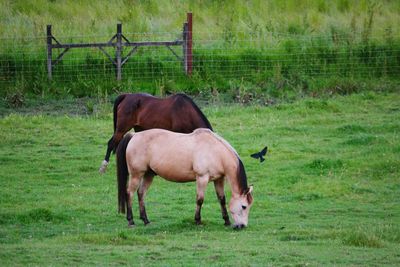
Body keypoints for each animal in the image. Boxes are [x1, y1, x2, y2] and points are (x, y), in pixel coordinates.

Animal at [115, 129, 253, 229]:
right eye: (244, 206)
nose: (242, 226)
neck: (215, 152)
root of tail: (134, 135)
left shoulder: (219, 179)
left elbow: (222, 200)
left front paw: (226, 221)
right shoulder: (202, 178)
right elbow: (200, 200)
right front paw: (197, 221)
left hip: (149, 174)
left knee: (141, 193)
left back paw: (145, 220)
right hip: (136, 175)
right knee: (130, 193)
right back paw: (131, 220)